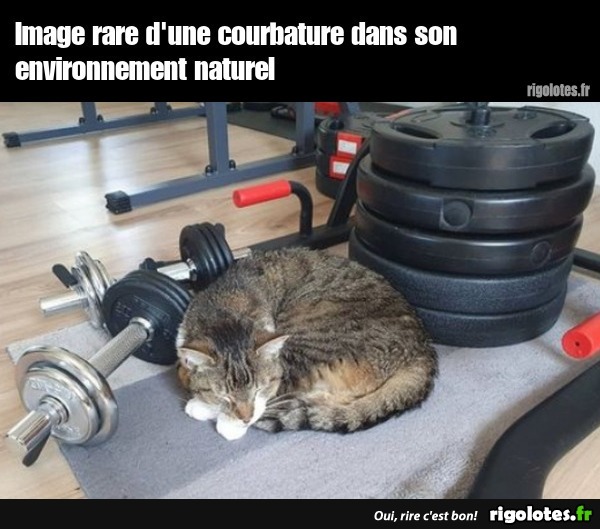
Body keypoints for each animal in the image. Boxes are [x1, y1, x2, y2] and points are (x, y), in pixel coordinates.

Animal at [176, 247, 438, 441]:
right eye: (224, 396)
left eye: (260, 389)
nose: (245, 418)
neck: (223, 307)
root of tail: (423, 348)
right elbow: (184, 373)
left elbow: (267, 400)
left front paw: (216, 417)